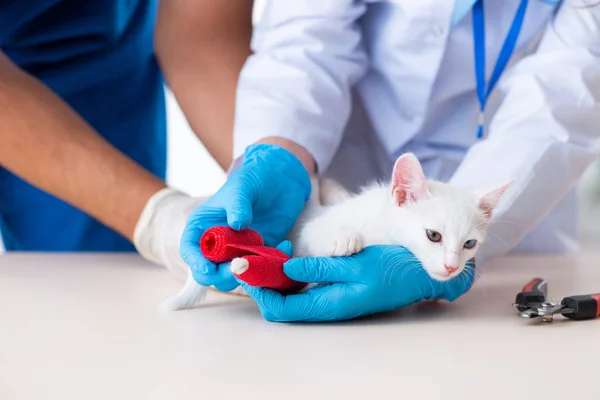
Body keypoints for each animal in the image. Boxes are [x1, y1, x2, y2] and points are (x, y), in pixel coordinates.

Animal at [163, 152, 510, 310]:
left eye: (469, 244)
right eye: (434, 236)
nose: (452, 266)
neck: (383, 229)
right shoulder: (310, 229)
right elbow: (316, 236)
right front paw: (343, 238)